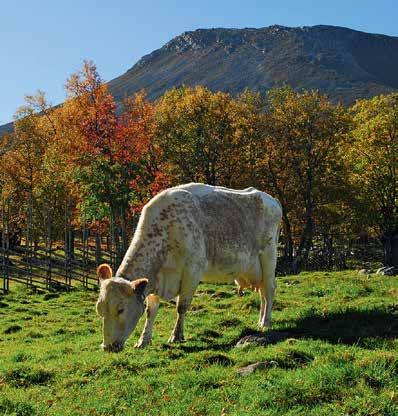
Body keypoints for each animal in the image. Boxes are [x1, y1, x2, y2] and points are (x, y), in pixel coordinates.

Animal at [96, 184, 282, 350]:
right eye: (99, 310)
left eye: (120, 309)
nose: (107, 347)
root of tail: (271, 199)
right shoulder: (154, 279)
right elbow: (151, 311)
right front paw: (143, 340)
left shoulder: (193, 271)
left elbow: (182, 306)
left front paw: (176, 336)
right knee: (263, 293)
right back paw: (260, 320)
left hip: (269, 255)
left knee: (270, 289)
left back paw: (266, 322)